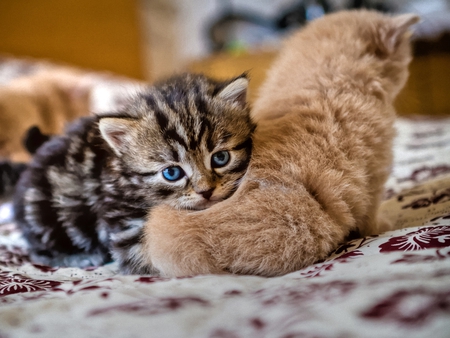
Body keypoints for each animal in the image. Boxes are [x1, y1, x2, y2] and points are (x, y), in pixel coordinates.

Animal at [12, 72, 255, 274]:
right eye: (172, 173)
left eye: (220, 158)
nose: (206, 191)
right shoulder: (123, 222)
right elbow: (154, 258)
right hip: (45, 217)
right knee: (37, 251)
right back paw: (79, 257)